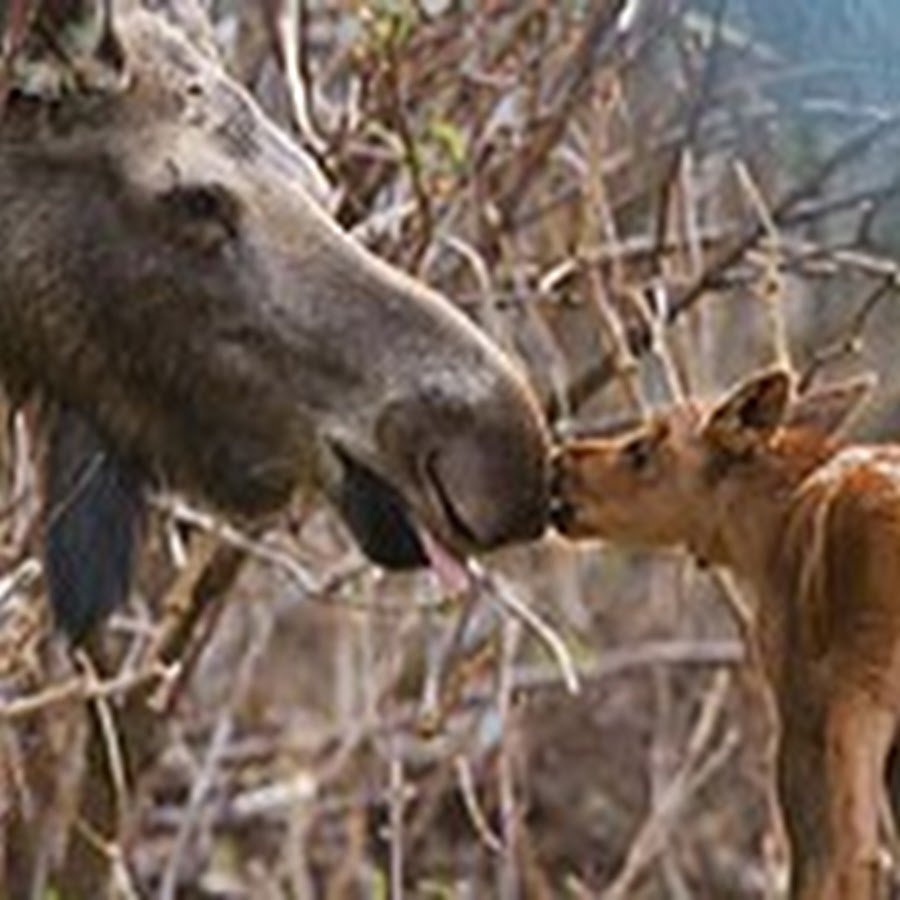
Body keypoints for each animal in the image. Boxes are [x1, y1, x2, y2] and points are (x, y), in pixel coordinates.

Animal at [552, 367, 900, 900]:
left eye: (645, 447)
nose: (559, 460)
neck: (763, 539)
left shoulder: (800, 703)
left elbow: (812, 862)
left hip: (863, 689)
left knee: (860, 855)